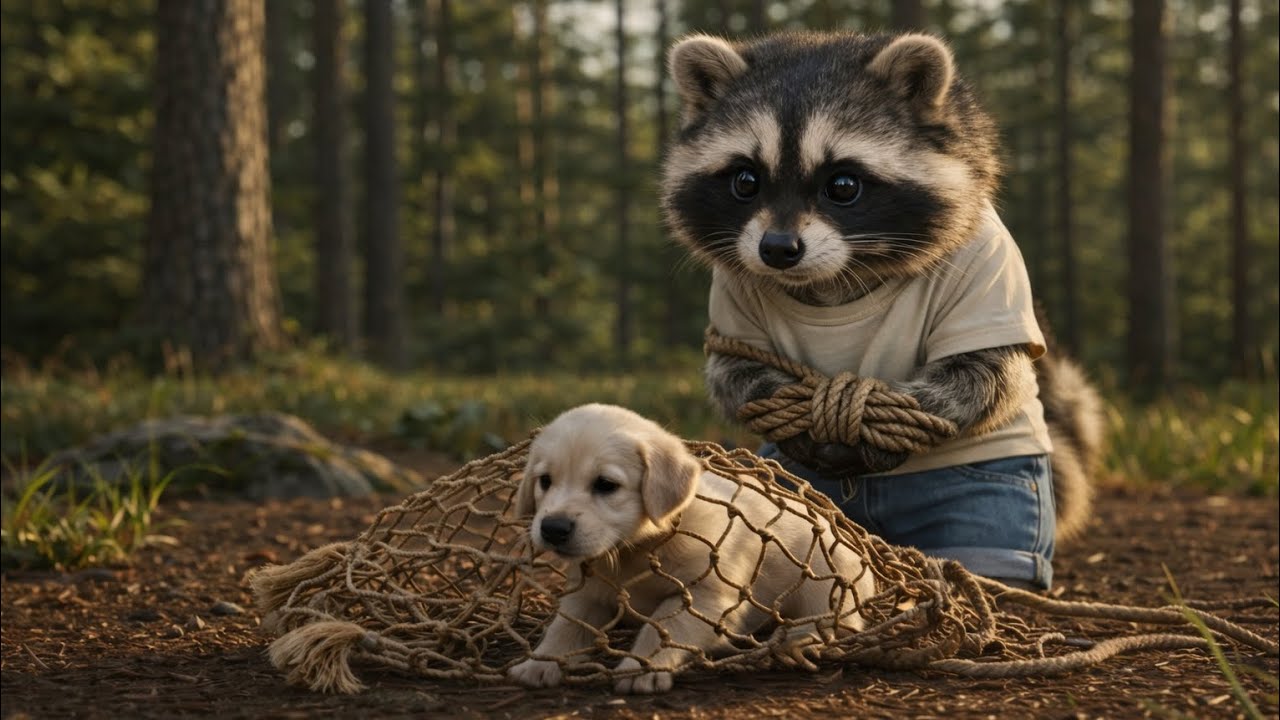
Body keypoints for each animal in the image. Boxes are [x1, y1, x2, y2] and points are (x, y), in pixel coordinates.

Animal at [661, 31, 1104, 545]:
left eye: (843, 186)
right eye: (746, 180)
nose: (777, 249)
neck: (835, 277)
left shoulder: (985, 269)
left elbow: (986, 374)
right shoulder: (733, 293)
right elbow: (733, 371)